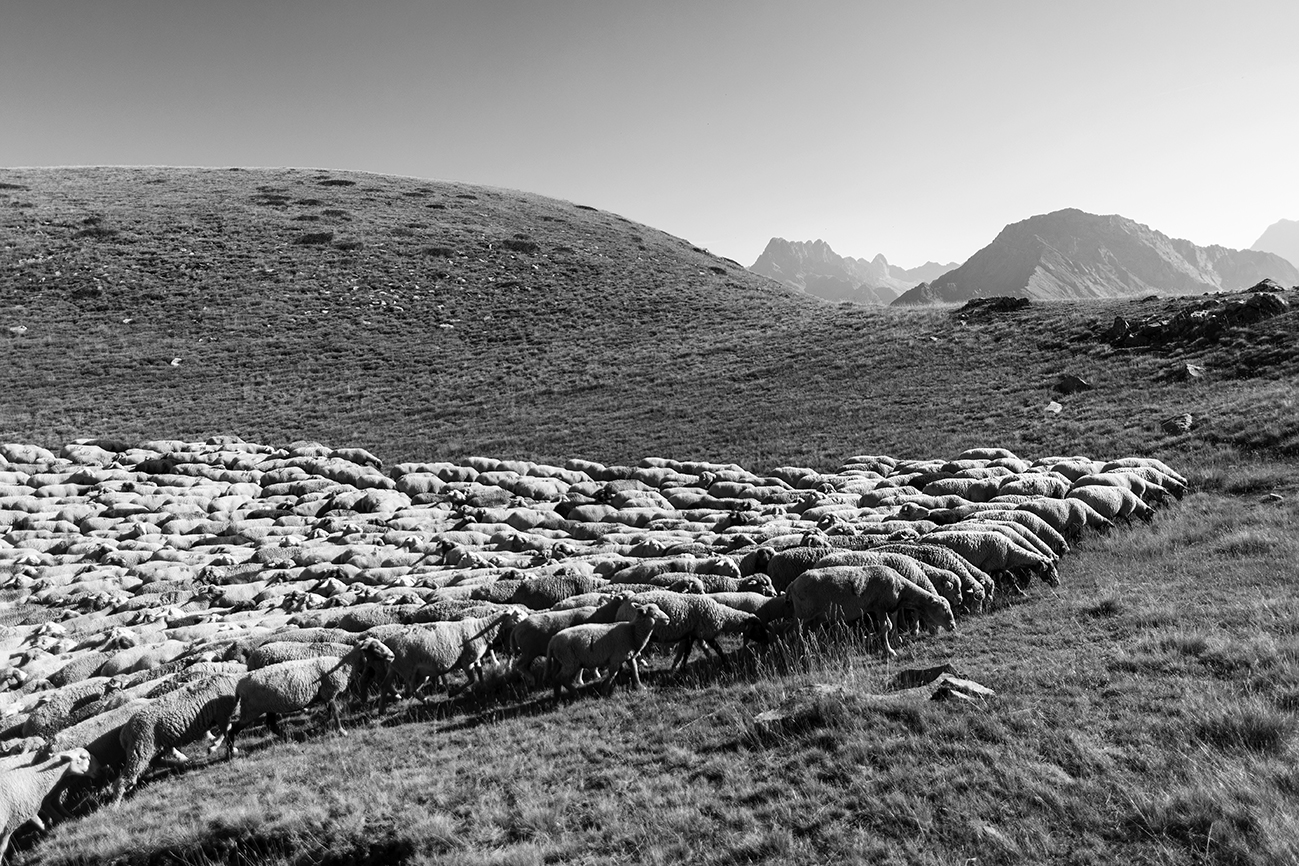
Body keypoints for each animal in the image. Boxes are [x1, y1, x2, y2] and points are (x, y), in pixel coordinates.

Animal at [109, 669, 241, 804]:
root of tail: (124, 734)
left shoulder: (222, 716)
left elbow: (226, 731)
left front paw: (222, 747)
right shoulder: (222, 714)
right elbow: (227, 732)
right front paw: (219, 748)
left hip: (156, 746)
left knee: (155, 761)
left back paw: (184, 763)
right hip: (141, 749)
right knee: (123, 779)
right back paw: (115, 804)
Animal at [220, 636, 392, 758]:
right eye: (376, 647)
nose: (391, 656)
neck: (344, 664)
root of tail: (240, 685)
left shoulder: (324, 694)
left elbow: (330, 713)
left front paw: (323, 727)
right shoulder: (329, 691)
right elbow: (335, 713)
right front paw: (342, 731)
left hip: (268, 705)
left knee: (271, 725)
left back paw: (292, 737)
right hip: (251, 709)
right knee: (233, 730)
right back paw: (230, 754)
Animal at [615, 589, 763, 669]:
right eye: (757, 628)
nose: (766, 641)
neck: (722, 615)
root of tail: (622, 608)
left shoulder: (691, 633)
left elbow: (686, 651)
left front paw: (676, 666)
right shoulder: (704, 633)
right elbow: (717, 649)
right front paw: (725, 663)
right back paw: (643, 663)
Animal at [779, 566, 956, 659]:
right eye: (944, 609)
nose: (953, 626)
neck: (901, 589)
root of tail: (792, 584)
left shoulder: (887, 607)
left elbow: (891, 624)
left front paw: (873, 638)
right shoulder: (879, 607)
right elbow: (885, 627)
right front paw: (889, 650)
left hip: (814, 616)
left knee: (804, 633)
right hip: (803, 614)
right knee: (793, 632)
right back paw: (797, 652)